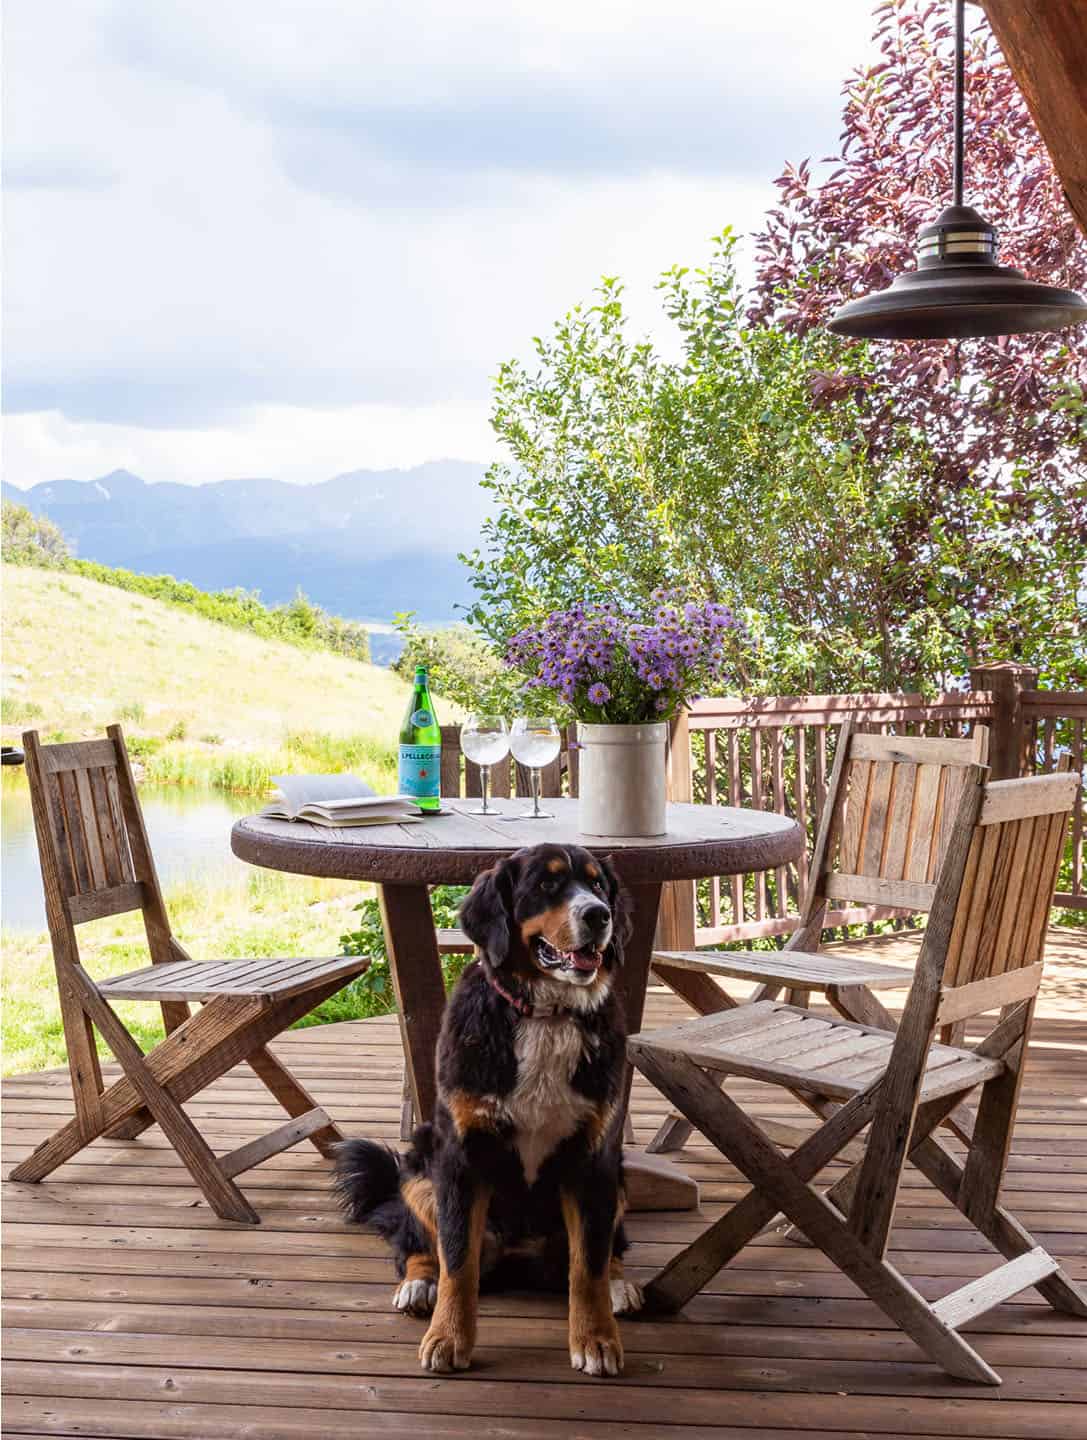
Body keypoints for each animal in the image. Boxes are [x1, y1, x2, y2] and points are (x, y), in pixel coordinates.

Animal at [335, 840, 642, 1376]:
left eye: (598, 885)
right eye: (547, 883)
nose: (599, 915)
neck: (545, 1016)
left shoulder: (594, 1158)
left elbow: (589, 1266)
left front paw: (597, 1338)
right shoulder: (461, 1156)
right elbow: (457, 1262)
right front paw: (448, 1336)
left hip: (621, 1182)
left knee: (608, 1251)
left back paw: (621, 1284)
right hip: (420, 1168)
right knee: (416, 1245)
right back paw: (418, 1284)